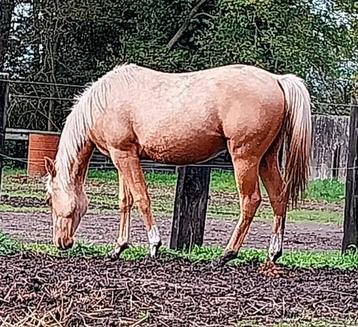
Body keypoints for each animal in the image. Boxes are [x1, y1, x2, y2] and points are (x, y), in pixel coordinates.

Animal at [44, 63, 312, 266]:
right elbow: (125, 202)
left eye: (48, 199)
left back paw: (226, 254)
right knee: (278, 197)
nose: (61, 242)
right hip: (267, 158)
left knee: (251, 200)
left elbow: (141, 198)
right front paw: (118, 248)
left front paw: (154, 245)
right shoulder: (121, 155)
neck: (105, 99)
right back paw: (273, 253)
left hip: (245, 158)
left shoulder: (125, 155)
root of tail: (277, 80)